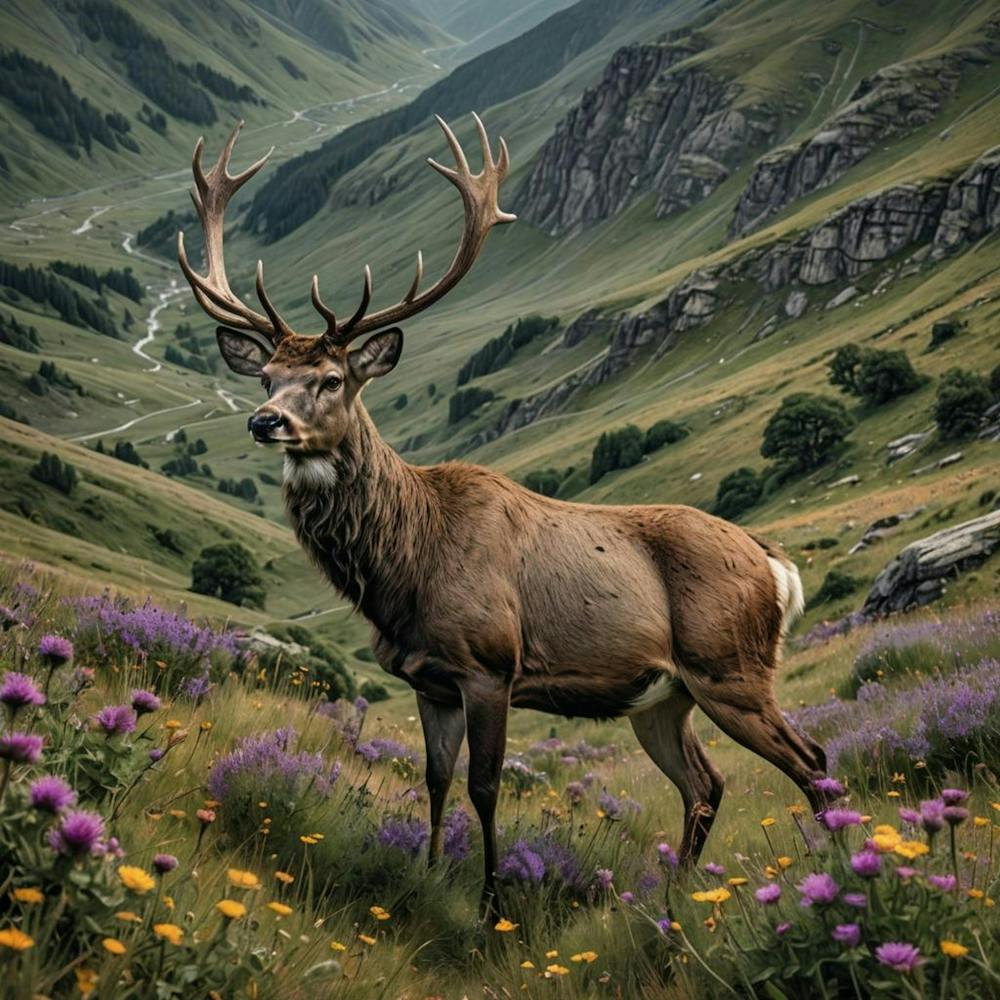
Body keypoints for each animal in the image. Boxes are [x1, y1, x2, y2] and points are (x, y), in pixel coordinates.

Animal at [178, 116, 836, 917]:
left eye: (331, 379)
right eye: (268, 376)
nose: (265, 421)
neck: (406, 567)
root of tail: (779, 566)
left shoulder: (491, 663)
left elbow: (485, 788)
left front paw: (491, 903)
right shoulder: (427, 679)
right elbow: (433, 781)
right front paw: (426, 873)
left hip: (730, 668)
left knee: (811, 759)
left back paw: (827, 878)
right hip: (664, 697)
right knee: (705, 784)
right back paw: (672, 901)